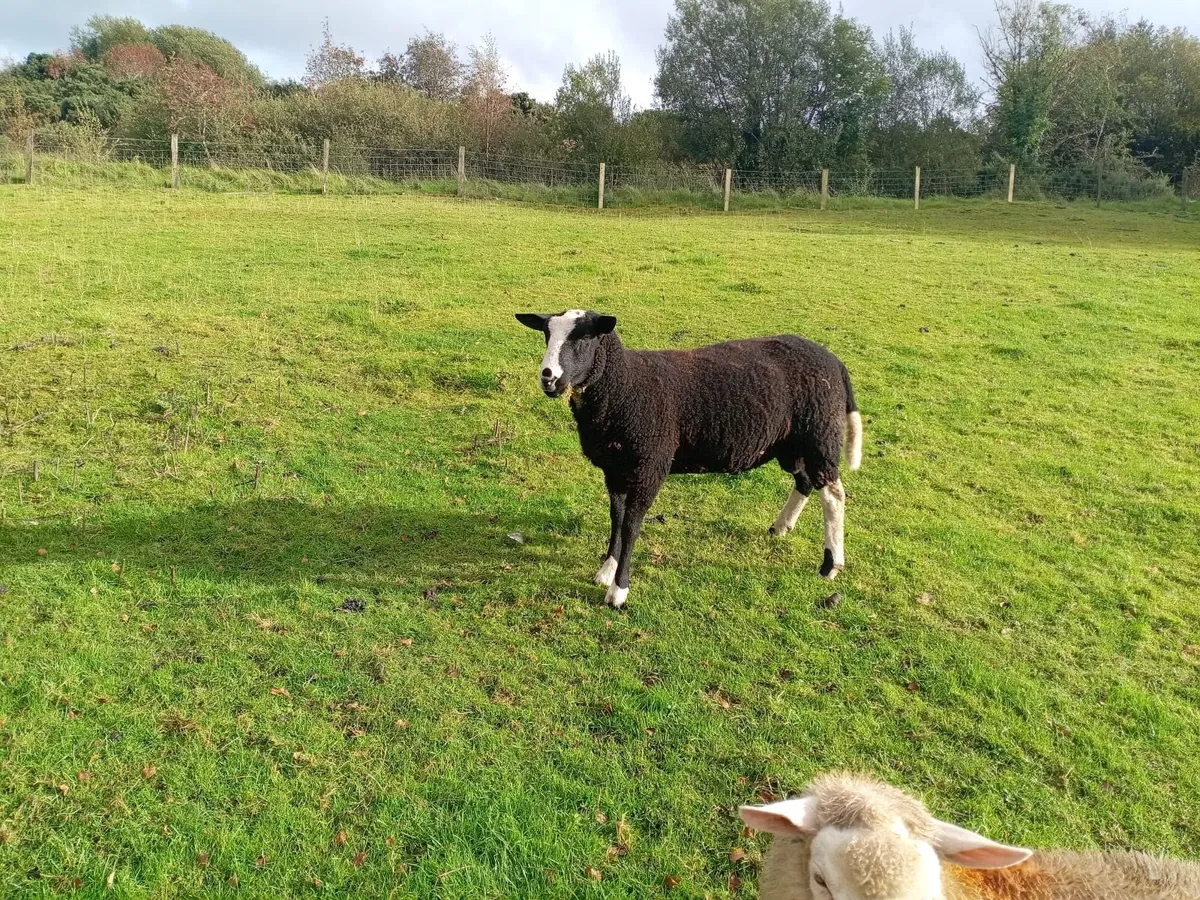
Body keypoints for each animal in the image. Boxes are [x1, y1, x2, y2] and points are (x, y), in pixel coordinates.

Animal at [515, 309, 863, 608]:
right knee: (805, 481)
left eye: (585, 338)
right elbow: (616, 518)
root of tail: (835, 362)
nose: (548, 377)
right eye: (546, 334)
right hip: (791, 443)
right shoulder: (615, 469)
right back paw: (781, 528)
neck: (623, 387)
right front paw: (606, 570)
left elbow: (631, 525)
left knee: (833, 493)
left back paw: (831, 565)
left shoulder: (650, 465)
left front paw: (618, 590)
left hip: (819, 433)